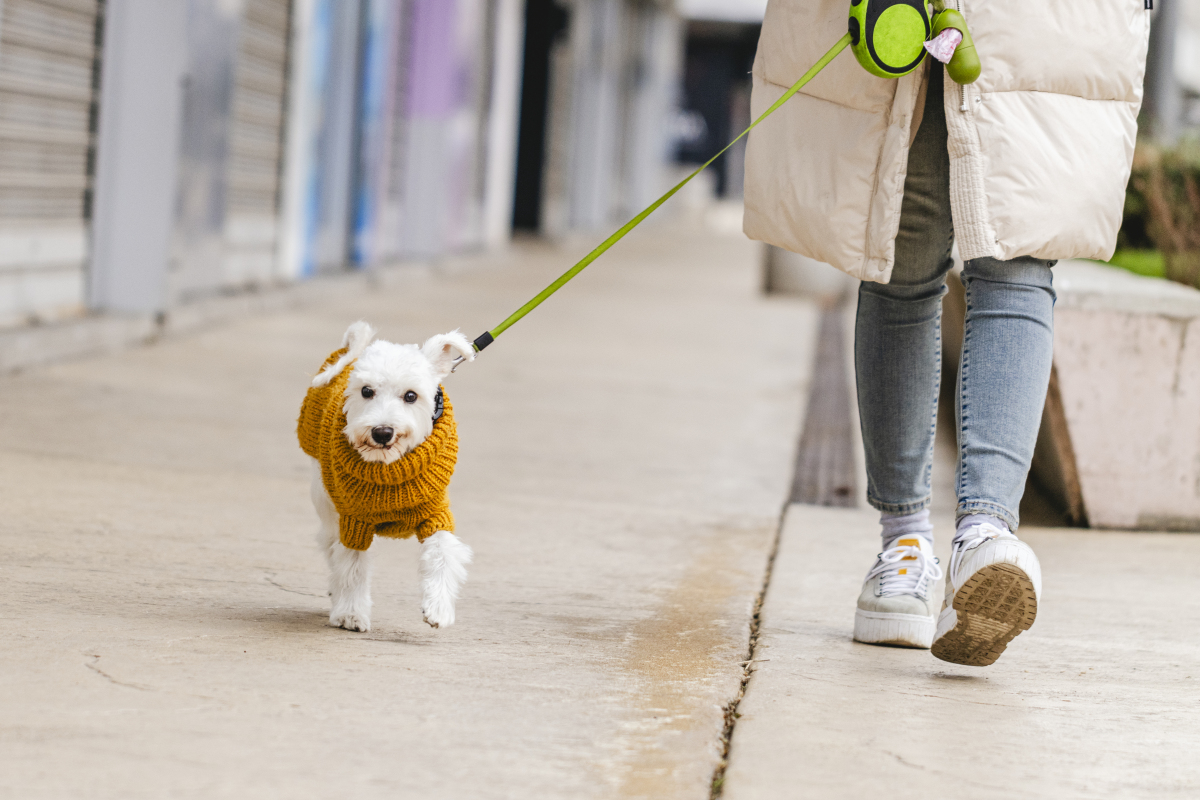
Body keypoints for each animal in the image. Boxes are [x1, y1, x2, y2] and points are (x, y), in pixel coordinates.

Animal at [295, 321, 472, 633]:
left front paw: (438, 608)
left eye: (411, 395)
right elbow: (351, 567)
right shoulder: (353, 522)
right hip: (326, 505)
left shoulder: (435, 514)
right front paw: (351, 614)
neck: (389, 469)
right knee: (331, 547)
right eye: (366, 391)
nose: (382, 432)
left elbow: (442, 553)